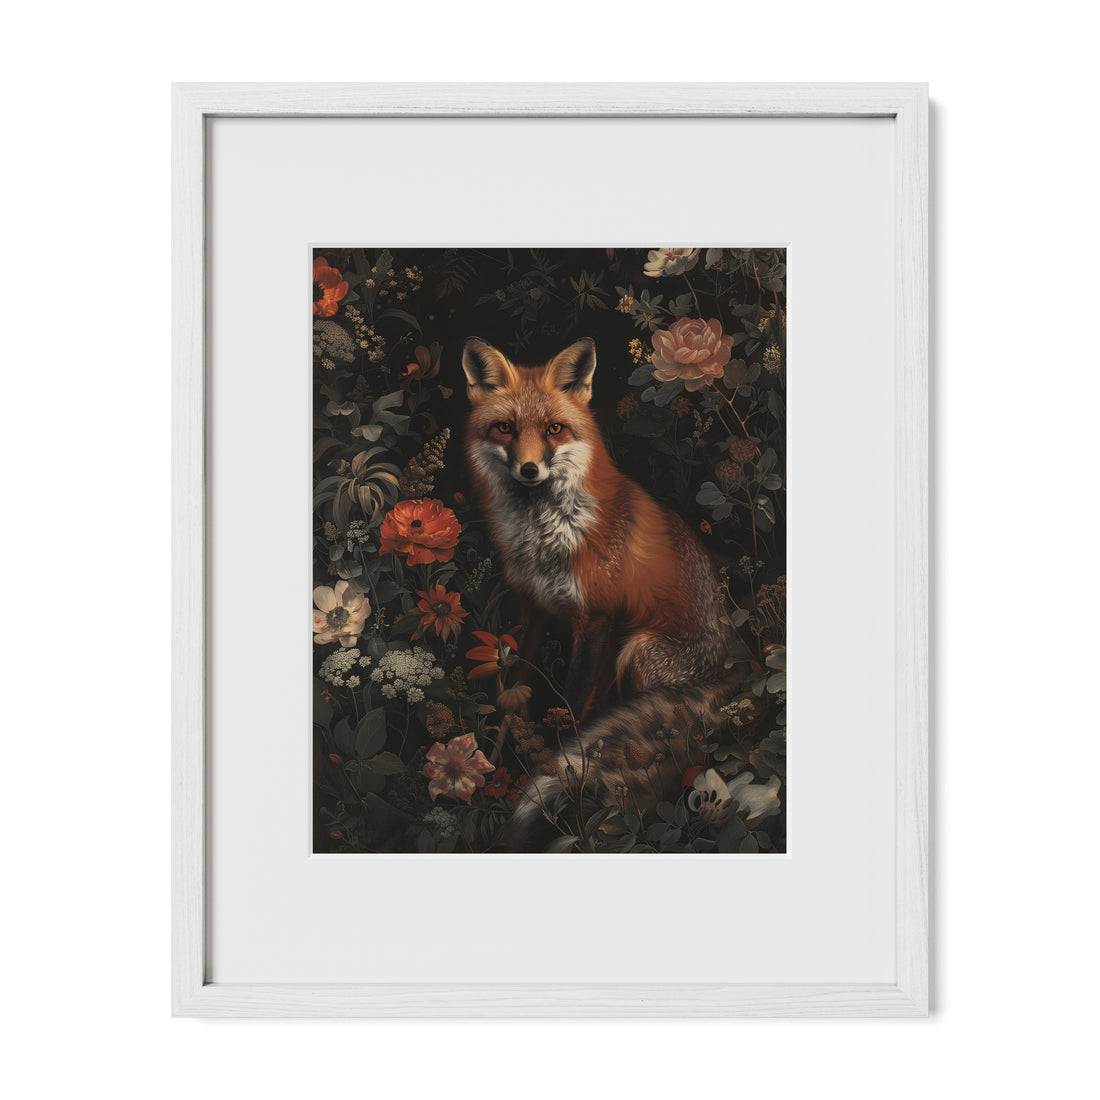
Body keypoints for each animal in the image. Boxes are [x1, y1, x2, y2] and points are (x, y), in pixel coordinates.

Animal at [461, 335, 749, 850]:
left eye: (554, 429)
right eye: (505, 428)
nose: (529, 469)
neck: (547, 536)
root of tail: (737, 665)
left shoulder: (596, 618)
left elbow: (574, 710)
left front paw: (556, 771)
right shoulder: (531, 610)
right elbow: (514, 694)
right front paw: (493, 763)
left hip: (638, 650)